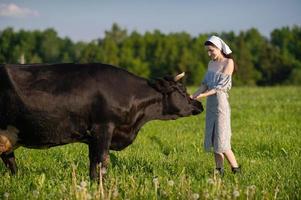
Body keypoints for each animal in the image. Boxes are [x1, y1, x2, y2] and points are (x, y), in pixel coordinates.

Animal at [0, 63, 203, 180]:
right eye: (182, 91)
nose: (199, 104)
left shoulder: (94, 137)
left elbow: (93, 163)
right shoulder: (103, 127)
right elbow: (102, 162)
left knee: (11, 163)